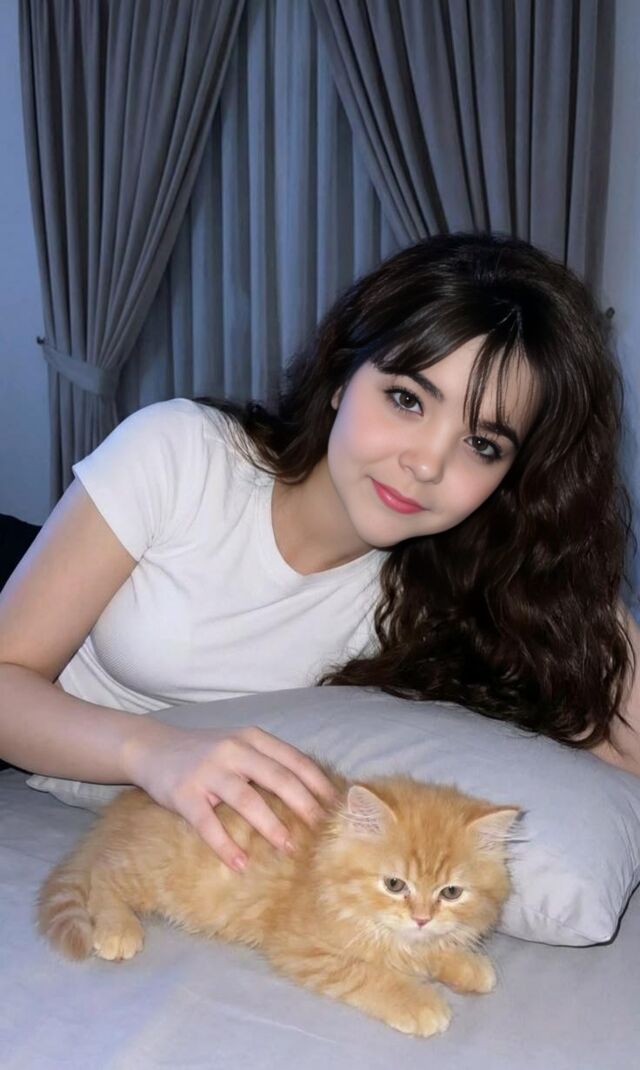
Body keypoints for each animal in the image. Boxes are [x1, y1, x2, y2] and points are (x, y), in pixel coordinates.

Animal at [36, 764, 521, 1038]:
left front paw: (463, 962)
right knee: (102, 874)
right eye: (394, 884)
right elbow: (370, 975)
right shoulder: (302, 948)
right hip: (158, 871)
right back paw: (118, 928)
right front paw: (419, 1002)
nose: (421, 918)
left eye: (451, 892)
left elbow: (430, 950)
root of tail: (126, 801)